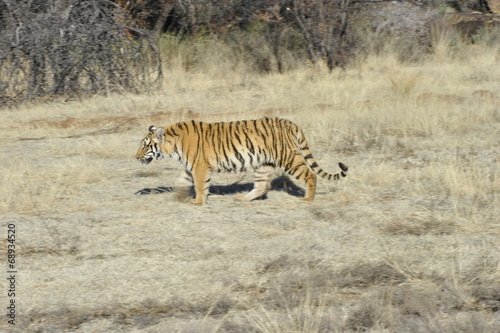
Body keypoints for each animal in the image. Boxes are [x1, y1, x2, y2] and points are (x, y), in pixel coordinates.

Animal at [137, 116, 348, 205]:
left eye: (145, 146)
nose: (136, 157)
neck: (173, 145)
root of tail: (290, 123)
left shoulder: (200, 166)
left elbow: (200, 186)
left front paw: (197, 202)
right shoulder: (192, 167)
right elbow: (183, 180)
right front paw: (180, 196)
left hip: (288, 158)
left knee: (310, 175)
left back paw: (307, 198)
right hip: (264, 164)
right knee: (263, 186)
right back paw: (242, 198)